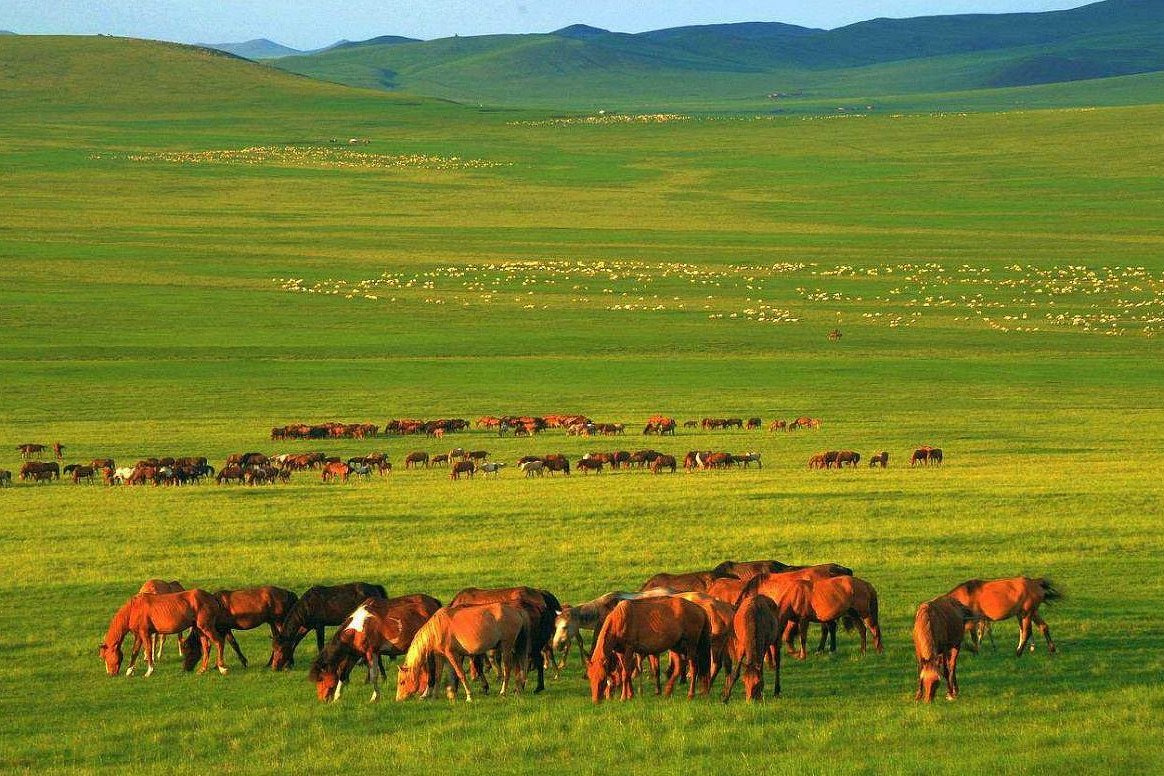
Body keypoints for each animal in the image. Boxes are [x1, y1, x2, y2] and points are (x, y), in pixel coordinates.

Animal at [309, 595, 439, 702]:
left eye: (320, 678)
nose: (322, 699)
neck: (358, 629)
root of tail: (434, 603)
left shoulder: (370, 652)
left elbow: (373, 676)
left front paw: (375, 697)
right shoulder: (354, 654)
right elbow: (343, 674)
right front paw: (337, 697)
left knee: (432, 669)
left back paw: (426, 694)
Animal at [395, 600, 533, 702]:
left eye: (402, 682)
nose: (398, 699)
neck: (437, 628)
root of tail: (517, 610)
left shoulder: (452, 654)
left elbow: (460, 674)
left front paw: (469, 696)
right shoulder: (440, 656)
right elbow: (438, 676)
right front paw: (434, 696)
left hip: (506, 646)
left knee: (508, 669)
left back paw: (503, 692)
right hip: (514, 647)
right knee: (520, 666)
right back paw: (518, 689)